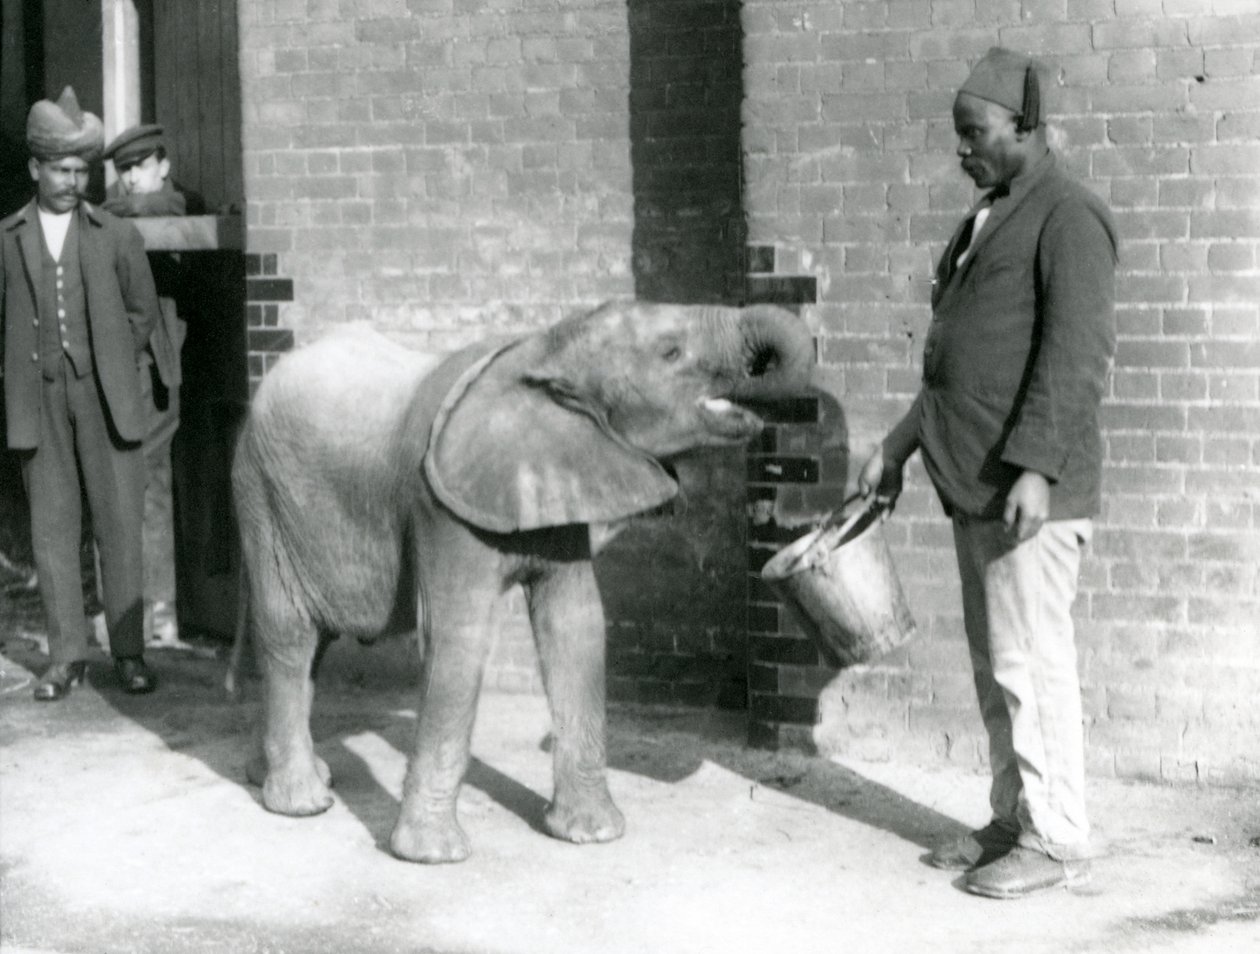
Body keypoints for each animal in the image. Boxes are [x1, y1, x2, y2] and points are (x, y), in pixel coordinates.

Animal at [231, 299, 811, 862]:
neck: (545, 347)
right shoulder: (438, 505)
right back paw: (302, 802)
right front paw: (433, 856)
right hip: (261, 496)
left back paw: (278, 777)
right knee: (290, 635)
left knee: (314, 646)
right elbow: (457, 637)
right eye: (671, 353)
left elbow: (577, 625)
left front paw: (594, 835)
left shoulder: (565, 477)